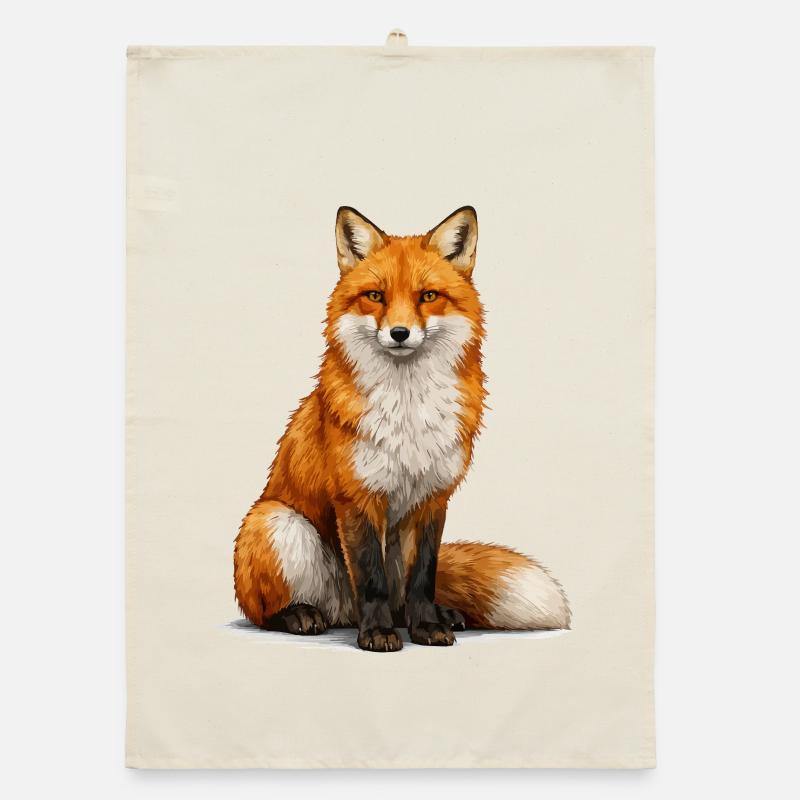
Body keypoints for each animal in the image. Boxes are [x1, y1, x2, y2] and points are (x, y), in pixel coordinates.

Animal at [234, 206, 570, 652]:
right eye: (376, 296)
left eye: (427, 296)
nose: (399, 333)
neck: (409, 410)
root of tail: (342, 612)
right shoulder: (357, 497)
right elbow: (370, 579)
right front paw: (377, 634)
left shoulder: (432, 498)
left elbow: (423, 578)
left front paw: (426, 626)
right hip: (277, 522)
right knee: (266, 611)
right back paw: (300, 615)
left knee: (402, 599)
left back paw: (432, 615)